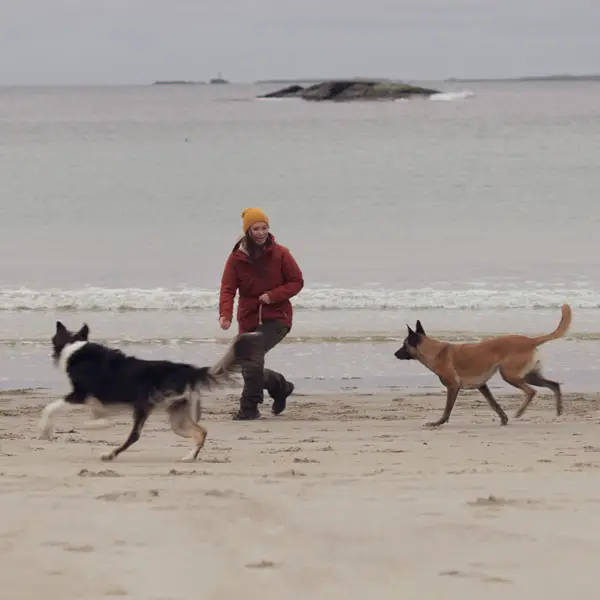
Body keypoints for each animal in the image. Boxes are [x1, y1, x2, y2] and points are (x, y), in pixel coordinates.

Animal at [394, 304, 572, 426]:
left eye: (403, 345)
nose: (395, 354)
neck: (435, 350)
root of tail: (530, 340)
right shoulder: (482, 386)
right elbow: (494, 404)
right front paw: (503, 419)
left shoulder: (453, 387)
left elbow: (447, 409)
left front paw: (438, 422)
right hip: (529, 375)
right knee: (554, 385)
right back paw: (559, 410)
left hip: (510, 376)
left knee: (531, 391)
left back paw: (520, 412)